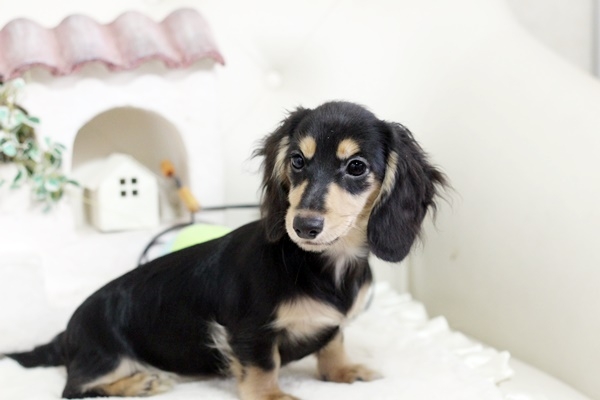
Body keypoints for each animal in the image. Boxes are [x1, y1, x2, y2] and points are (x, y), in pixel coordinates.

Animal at [4, 101, 446, 399]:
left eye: (356, 166)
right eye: (297, 161)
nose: (304, 226)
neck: (323, 264)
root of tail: (66, 334)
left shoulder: (331, 325)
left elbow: (333, 341)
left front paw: (343, 371)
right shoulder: (249, 329)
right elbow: (264, 365)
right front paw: (272, 395)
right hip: (106, 357)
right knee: (77, 390)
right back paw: (141, 381)